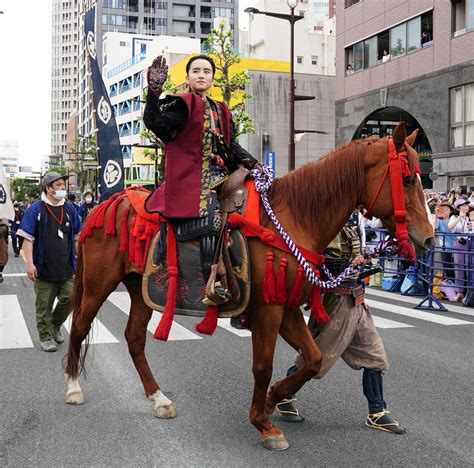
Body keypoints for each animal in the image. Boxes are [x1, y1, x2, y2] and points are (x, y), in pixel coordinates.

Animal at [63, 123, 434, 450]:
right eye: (407, 178)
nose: (428, 239)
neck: (292, 218)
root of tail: (105, 203)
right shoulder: (267, 310)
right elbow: (263, 366)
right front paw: (264, 423)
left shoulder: (286, 307)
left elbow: (313, 359)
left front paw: (273, 401)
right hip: (99, 283)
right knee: (79, 326)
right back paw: (73, 388)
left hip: (141, 288)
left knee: (135, 339)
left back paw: (159, 399)